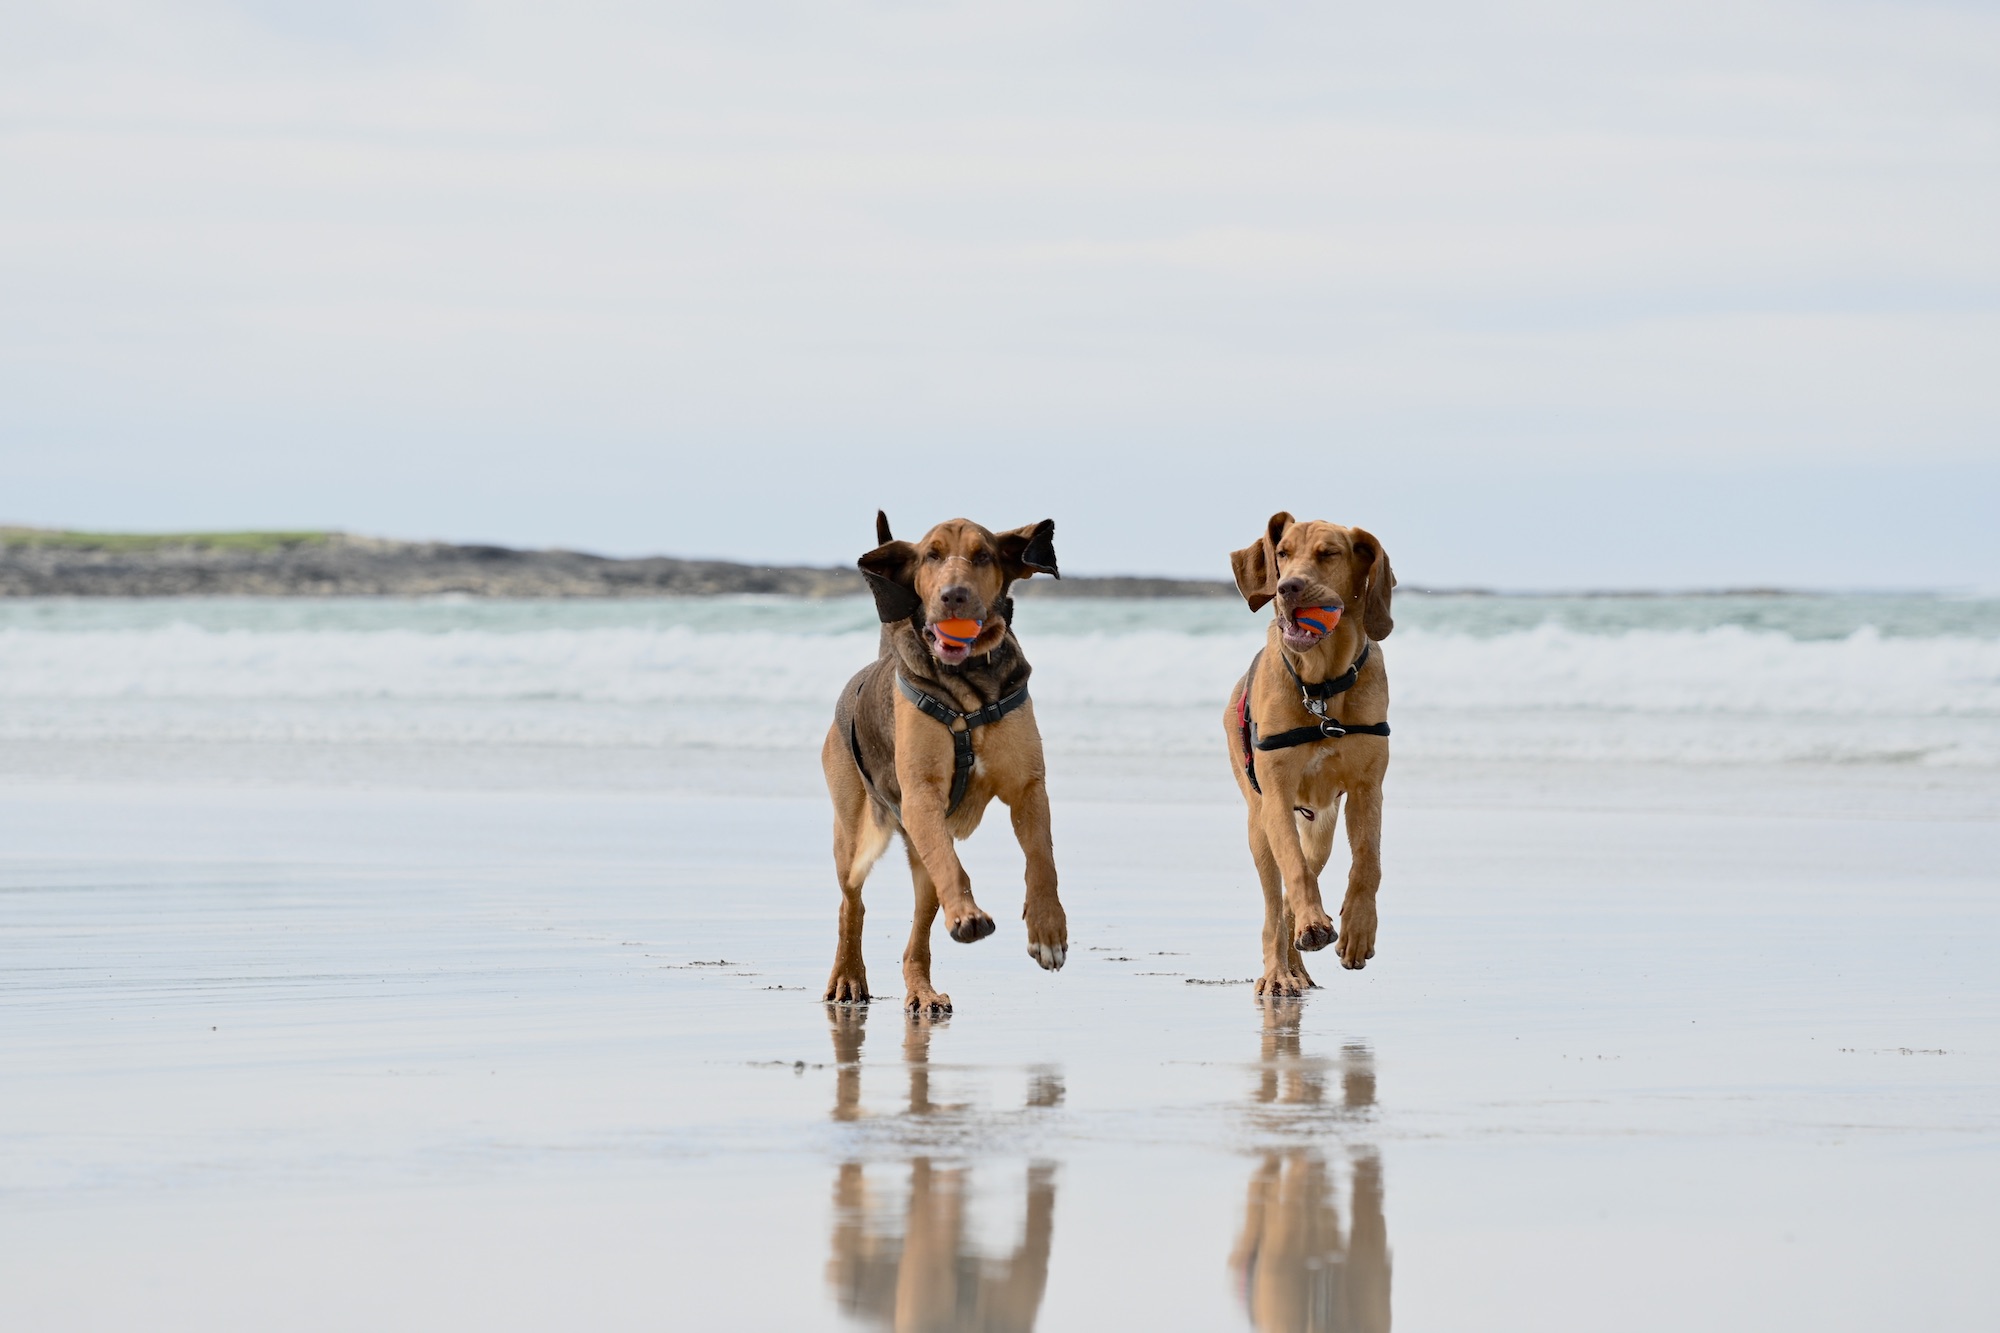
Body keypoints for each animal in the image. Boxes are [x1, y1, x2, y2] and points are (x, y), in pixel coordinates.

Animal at [821, 511, 1069, 1013]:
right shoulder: (921, 797)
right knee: (851, 903)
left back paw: (923, 991)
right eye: (931, 556)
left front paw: (1048, 929)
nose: (953, 595)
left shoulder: (1029, 789)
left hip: (918, 862)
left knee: (917, 934)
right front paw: (970, 914)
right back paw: (848, 976)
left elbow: (1041, 859)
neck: (968, 686)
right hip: (857, 834)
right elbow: (953, 865)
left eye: (983, 556)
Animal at [1223, 513, 1395, 995]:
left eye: (1329, 553)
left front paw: (1358, 929)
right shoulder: (1277, 796)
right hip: (1258, 822)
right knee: (1274, 901)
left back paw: (1297, 961)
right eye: (1282, 554)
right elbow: (1294, 870)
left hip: (1321, 826)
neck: (1320, 687)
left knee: (1293, 890)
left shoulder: (1367, 789)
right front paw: (1315, 925)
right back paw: (1279, 971)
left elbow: (1368, 862)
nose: (1288, 587)